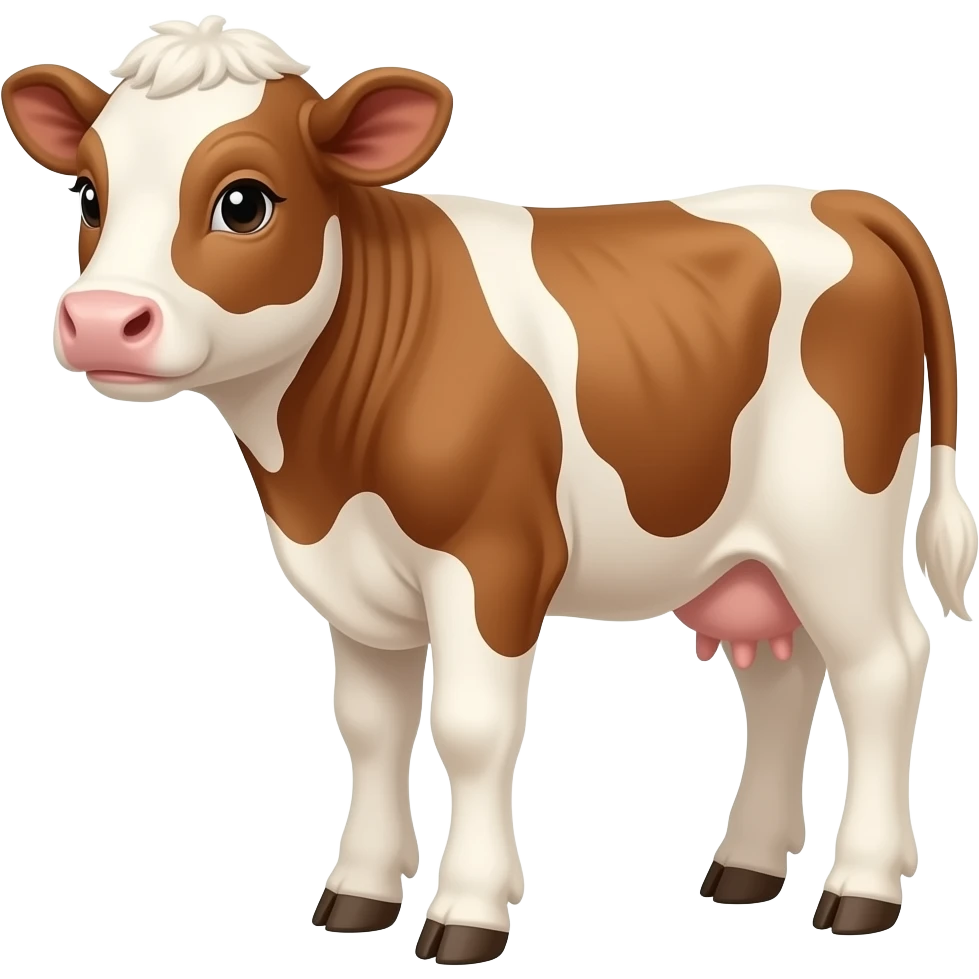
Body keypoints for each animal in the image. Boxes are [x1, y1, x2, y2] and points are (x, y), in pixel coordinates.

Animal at [3, 17, 975, 963]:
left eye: (243, 202)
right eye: (88, 195)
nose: (100, 321)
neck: (315, 471)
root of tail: (837, 197)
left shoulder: (495, 555)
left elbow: (470, 728)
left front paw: (468, 911)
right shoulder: (354, 580)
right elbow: (370, 727)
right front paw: (357, 893)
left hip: (834, 526)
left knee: (882, 666)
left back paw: (861, 889)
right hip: (751, 553)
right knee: (783, 677)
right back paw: (744, 867)